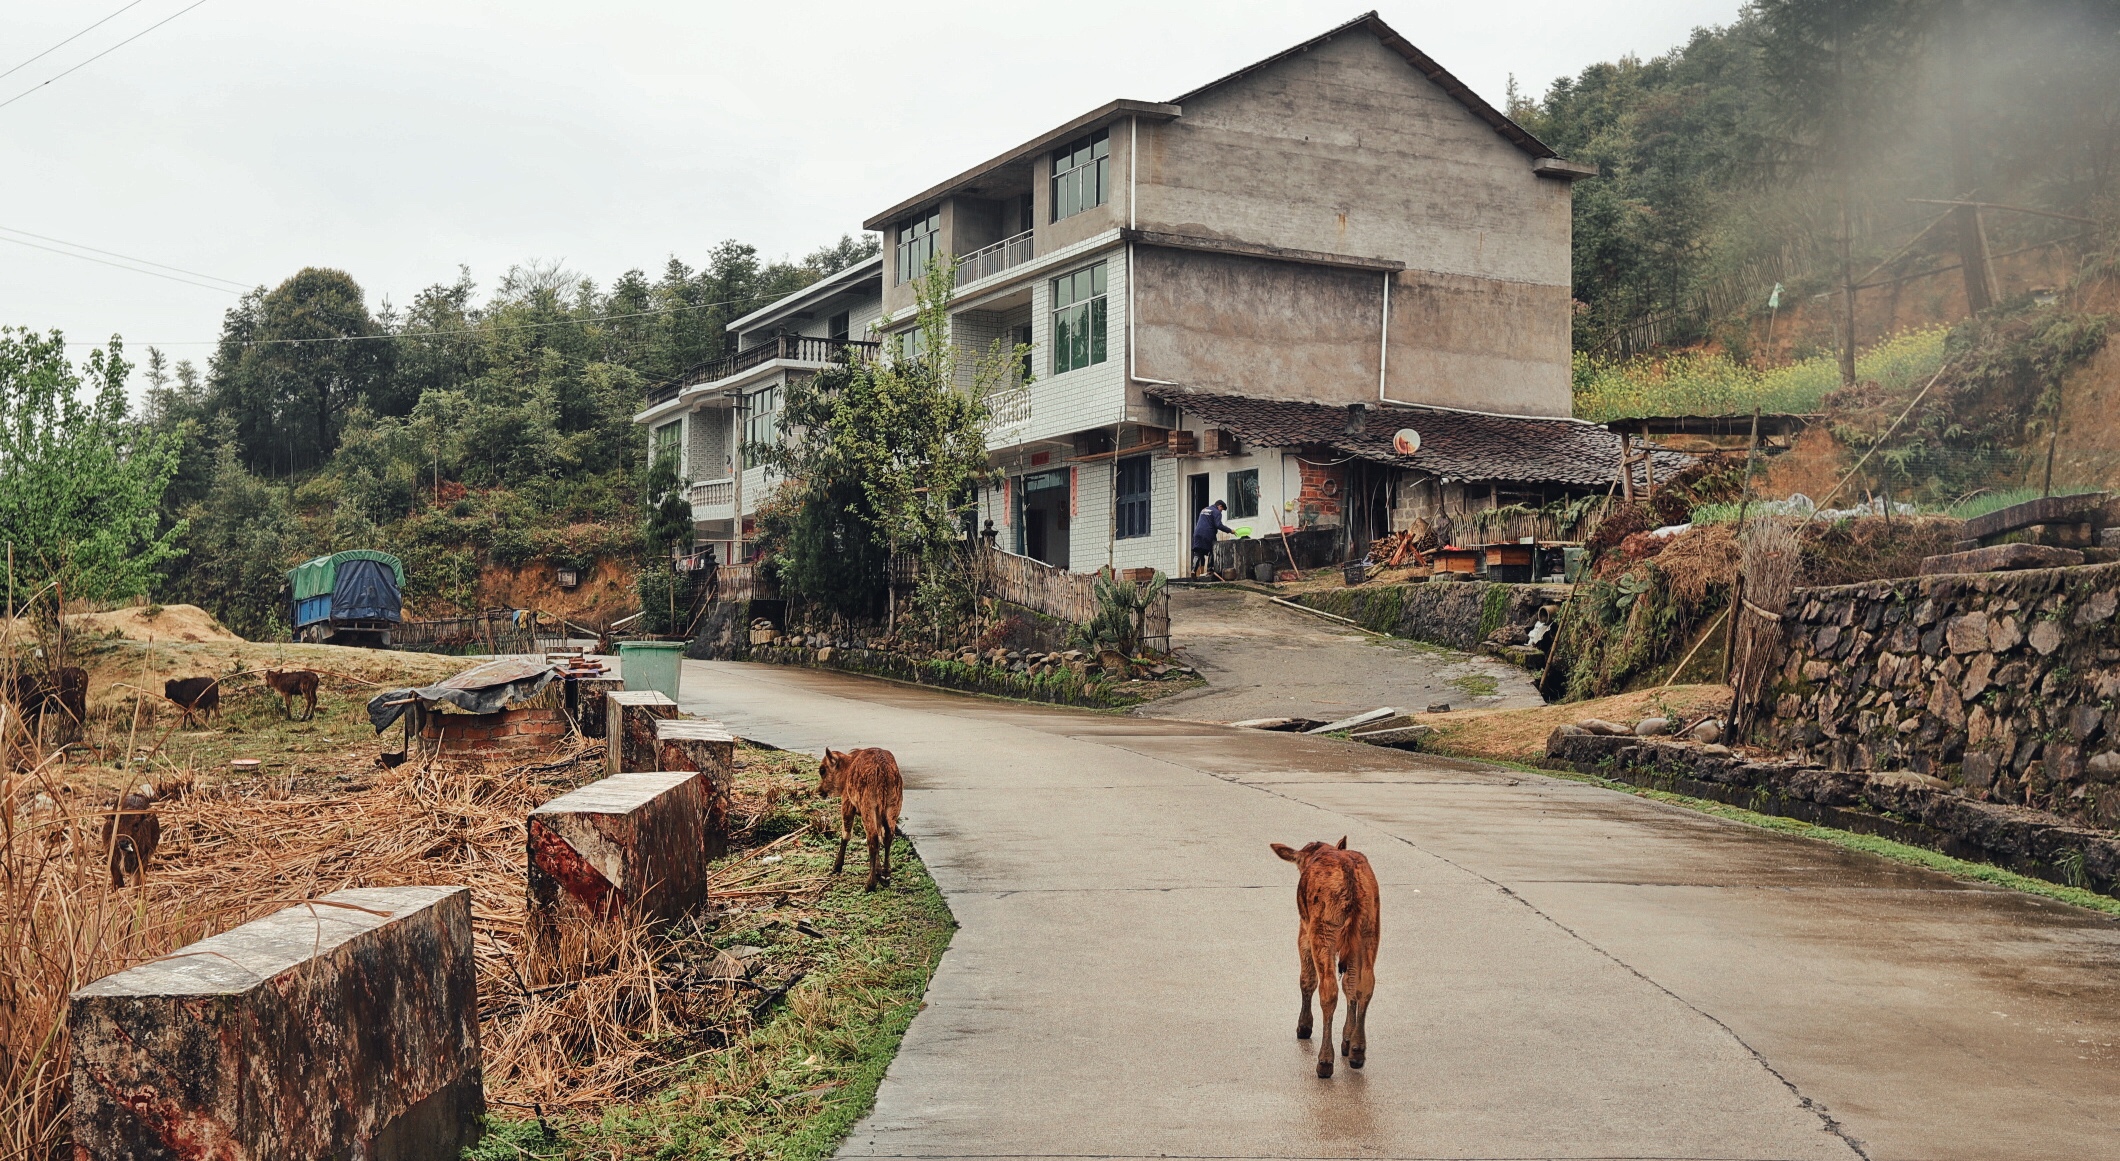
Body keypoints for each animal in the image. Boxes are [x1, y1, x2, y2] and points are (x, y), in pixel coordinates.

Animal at [818, 749, 903, 894]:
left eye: (822, 770)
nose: (819, 791)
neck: (848, 767)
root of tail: (883, 769)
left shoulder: (847, 804)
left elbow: (846, 834)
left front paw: (837, 866)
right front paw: (879, 872)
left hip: (867, 808)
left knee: (872, 838)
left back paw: (870, 884)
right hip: (892, 807)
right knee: (887, 836)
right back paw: (885, 876)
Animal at [1263, 834, 1382, 1080]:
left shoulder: (1304, 932)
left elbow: (1306, 979)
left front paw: (1304, 1026)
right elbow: (1351, 984)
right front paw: (1347, 1040)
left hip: (1323, 931)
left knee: (1328, 989)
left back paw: (1325, 1061)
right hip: (1370, 929)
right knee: (1365, 984)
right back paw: (1357, 1050)